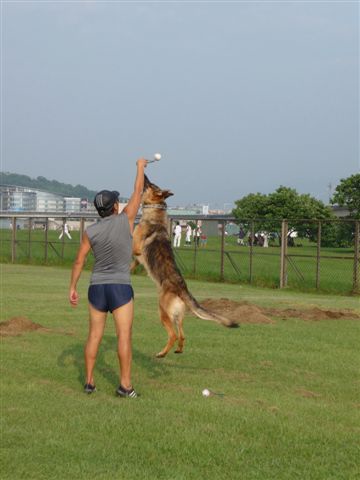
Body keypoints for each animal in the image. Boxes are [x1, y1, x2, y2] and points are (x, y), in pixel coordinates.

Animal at [131, 175, 238, 356]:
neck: (154, 212)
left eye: (151, 184)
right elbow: (132, 263)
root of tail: (182, 289)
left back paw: (162, 354)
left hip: (163, 313)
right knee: (182, 335)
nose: (144, 176)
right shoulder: (137, 257)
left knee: (173, 335)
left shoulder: (135, 247)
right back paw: (178, 351)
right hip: (178, 317)